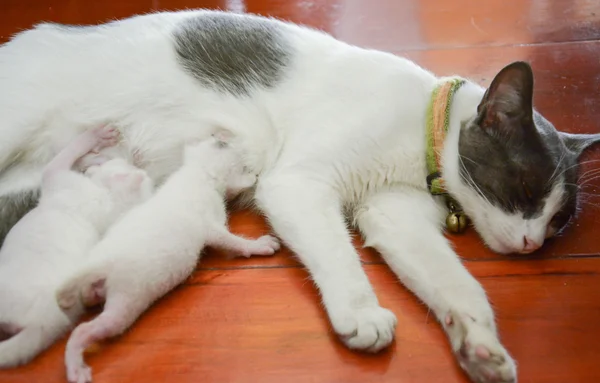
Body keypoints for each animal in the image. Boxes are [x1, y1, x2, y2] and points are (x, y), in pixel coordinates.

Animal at [56, 134, 282, 383]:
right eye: (245, 165)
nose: (221, 136)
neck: (196, 171)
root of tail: (99, 263)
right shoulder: (209, 222)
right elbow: (229, 240)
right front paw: (258, 245)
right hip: (124, 301)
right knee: (86, 329)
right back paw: (75, 366)